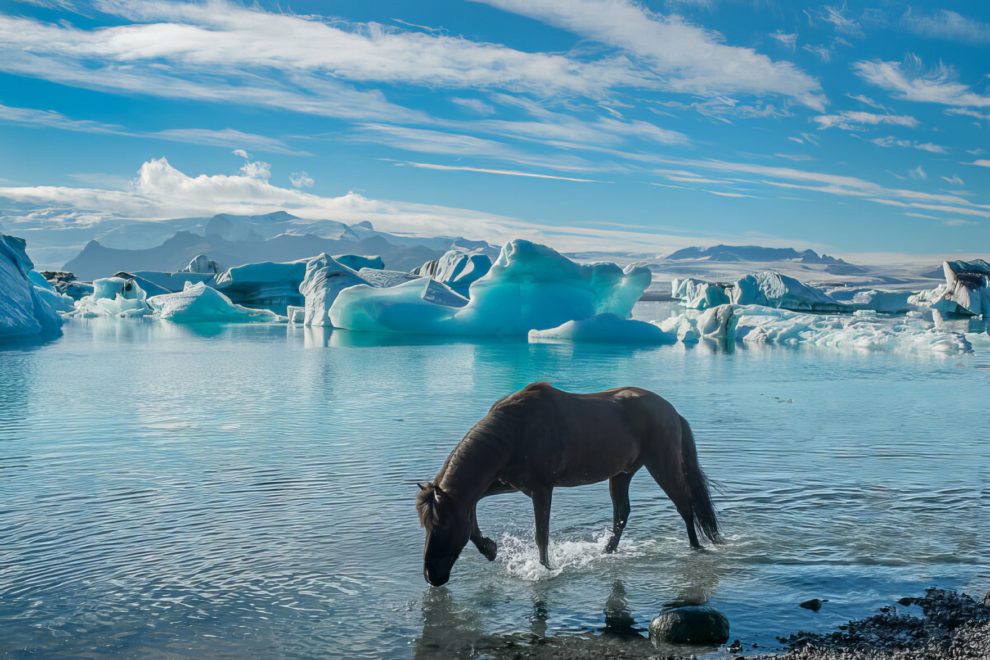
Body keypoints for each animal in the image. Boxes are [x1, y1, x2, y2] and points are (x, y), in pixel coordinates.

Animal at [416, 382, 720, 588]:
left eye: (442, 525)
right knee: (622, 513)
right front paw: (489, 548)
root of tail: (672, 411)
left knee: (684, 503)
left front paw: (544, 569)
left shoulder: (541, 488)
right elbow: (473, 507)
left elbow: (541, 534)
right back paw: (607, 552)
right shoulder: (503, 482)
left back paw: (696, 548)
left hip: (662, 463)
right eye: (427, 526)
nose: (432, 576)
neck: (514, 431)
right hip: (622, 473)